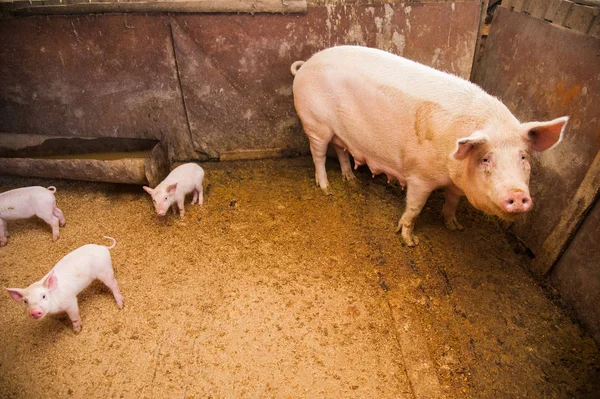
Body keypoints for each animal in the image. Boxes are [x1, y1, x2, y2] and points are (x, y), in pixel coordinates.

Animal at [292, 47, 568, 247]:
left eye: (523, 157)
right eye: (486, 159)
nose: (518, 195)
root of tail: (305, 64)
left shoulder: (456, 184)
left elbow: (453, 201)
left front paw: (455, 226)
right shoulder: (420, 176)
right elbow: (414, 207)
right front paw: (410, 241)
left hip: (340, 132)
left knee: (340, 150)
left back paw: (351, 180)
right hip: (315, 123)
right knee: (318, 155)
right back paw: (327, 189)